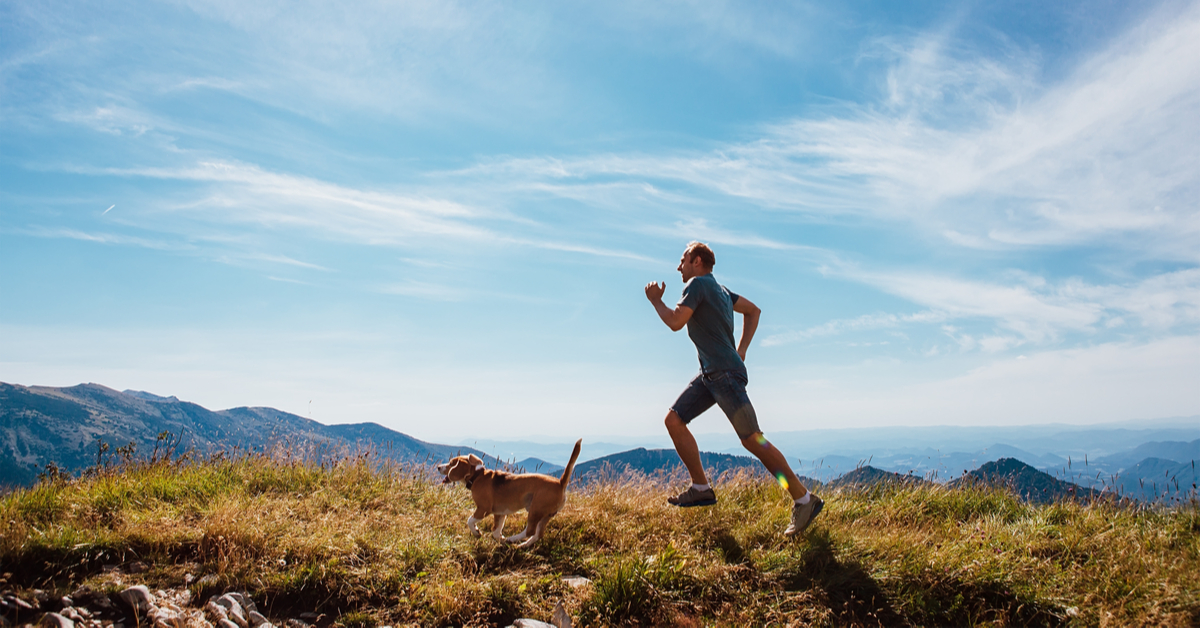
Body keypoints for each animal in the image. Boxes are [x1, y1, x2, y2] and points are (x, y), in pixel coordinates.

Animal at [439, 439, 583, 547]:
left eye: (451, 463)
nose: (439, 467)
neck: (477, 476)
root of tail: (560, 483)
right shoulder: (500, 513)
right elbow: (496, 532)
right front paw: (500, 539)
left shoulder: (484, 509)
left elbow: (470, 521)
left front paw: (477, 532)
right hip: (545, 514)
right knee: (538, 534)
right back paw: (522, 545)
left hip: (535, 510)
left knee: (530, 531)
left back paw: (513, 539)